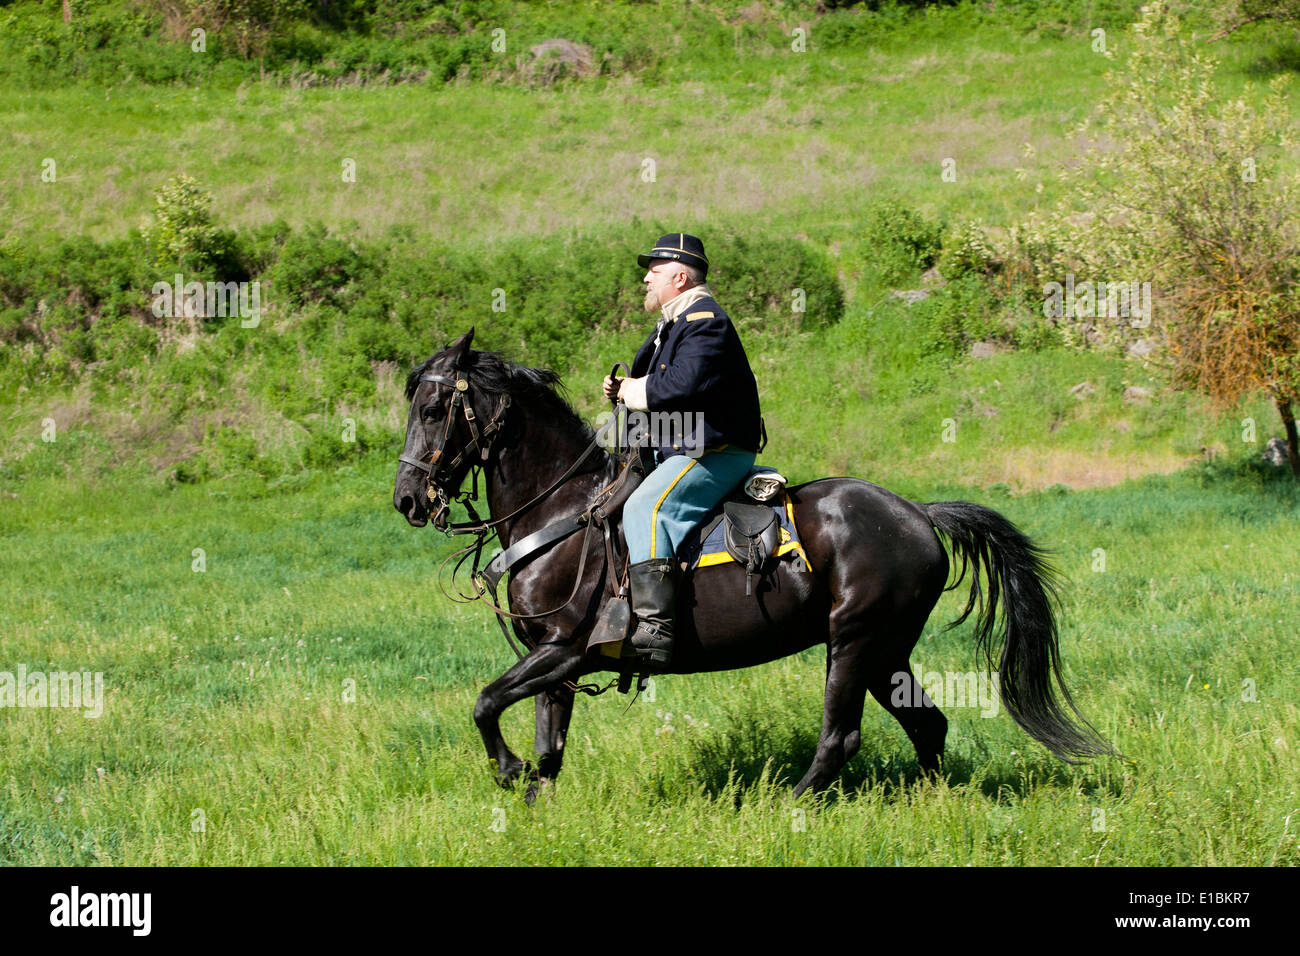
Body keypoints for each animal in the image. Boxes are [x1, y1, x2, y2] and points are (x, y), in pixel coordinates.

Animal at [390, 335, 1112, 801]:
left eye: (433, 409)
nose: (407, 499)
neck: (565, 513)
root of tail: (917, 512)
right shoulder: (554, 662)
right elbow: (548, 747)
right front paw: (531, 796)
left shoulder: (564, 650)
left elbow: (486, 704)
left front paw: (507, 772)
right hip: (886, 650)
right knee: (926, 723)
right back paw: (934, 805)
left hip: (853, 642)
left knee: (841, 737)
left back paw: (792, 805)